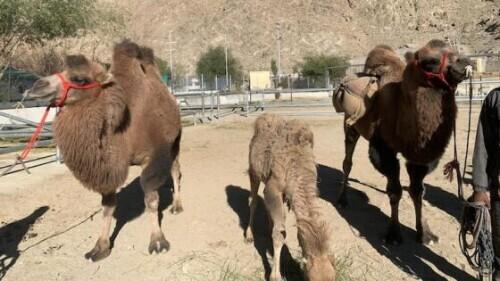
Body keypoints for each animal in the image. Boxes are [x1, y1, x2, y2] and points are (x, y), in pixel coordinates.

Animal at [23, 40, 184, 260]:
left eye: (80, 79)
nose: (36, 86)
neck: (122, 129)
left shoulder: (151, 157)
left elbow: (151, 198)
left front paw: (158, 242)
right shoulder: (107, 168)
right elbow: (107, 206)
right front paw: (100, 247)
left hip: (174, 141)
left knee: (175, 170)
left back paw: (177, 206)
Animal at [247, 113, 336, 280]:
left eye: (334, 278)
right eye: (310, 278)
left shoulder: (287, 193)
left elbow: (282, 227)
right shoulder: (274, 188)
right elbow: (280, 233)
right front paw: (275, 276)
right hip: (253, 171)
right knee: (254, 201)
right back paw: (249, 235)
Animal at [338, 39, 470, 243]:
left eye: (456, 51)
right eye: (430, 61)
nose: (464, 63)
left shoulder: (419, 156)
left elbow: (417, 191)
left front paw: (425, 233)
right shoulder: (383, 148)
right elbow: (395, 191)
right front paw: (393, 233)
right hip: (350, 125)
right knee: (347, 161)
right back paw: (342, 199)